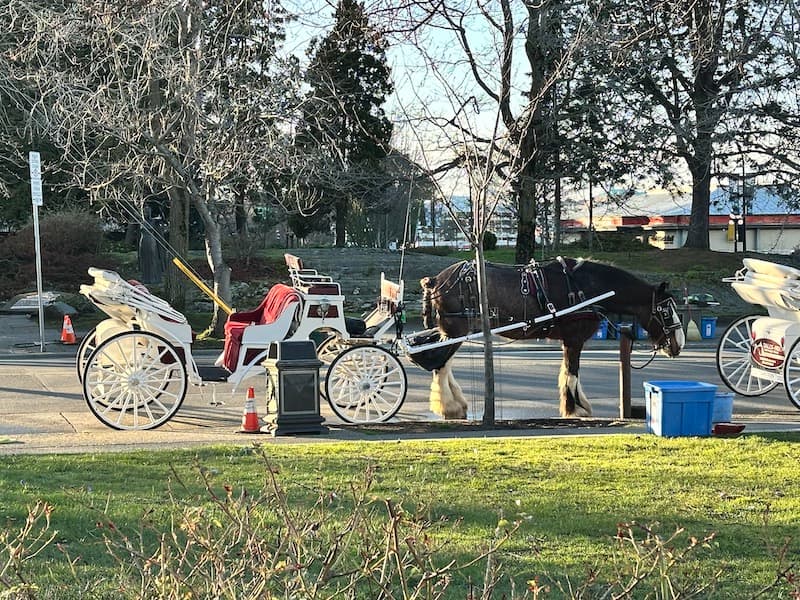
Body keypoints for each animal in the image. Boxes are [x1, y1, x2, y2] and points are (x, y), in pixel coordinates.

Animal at [410, 256, 684, 418]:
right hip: (457, 330)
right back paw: (450, 406)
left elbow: (567, 373)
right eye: (665, 310)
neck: (588, 287)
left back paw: (456, 403)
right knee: (440, 364)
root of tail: (436, 281)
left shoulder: (568, 340)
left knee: (438, 361)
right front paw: (575, 410)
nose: (679, 343)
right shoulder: (574, 338)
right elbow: (572, 373)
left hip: (452, 332)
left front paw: (575, 405)